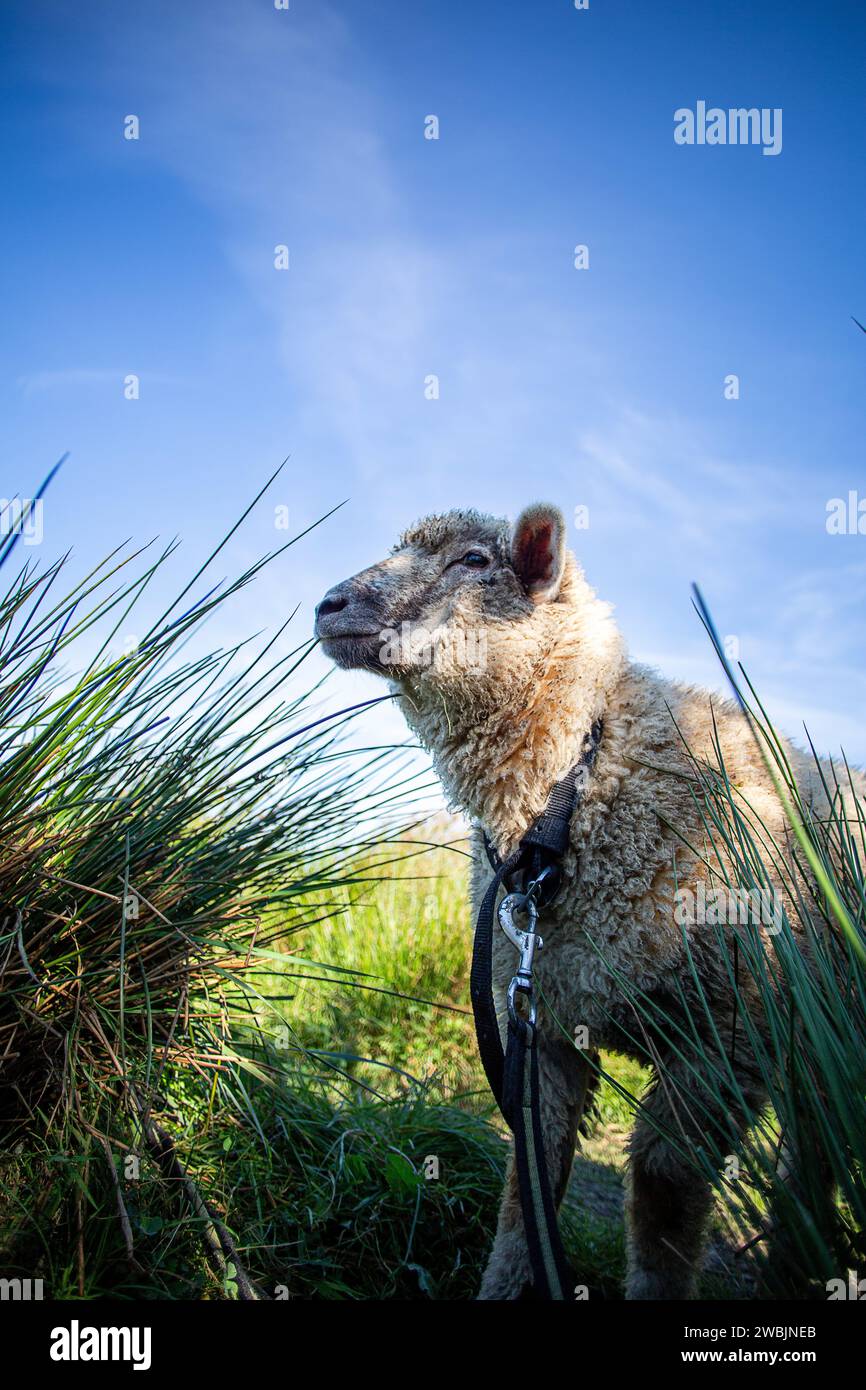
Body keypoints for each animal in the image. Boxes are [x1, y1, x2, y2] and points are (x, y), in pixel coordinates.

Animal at [314, 501, 839, 1300]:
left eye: (474, 560)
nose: (328, 605)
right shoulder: (551, 1023)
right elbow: (529, 1180)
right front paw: (504, 1286)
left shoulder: (726, 1039)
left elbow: (662, 1192)